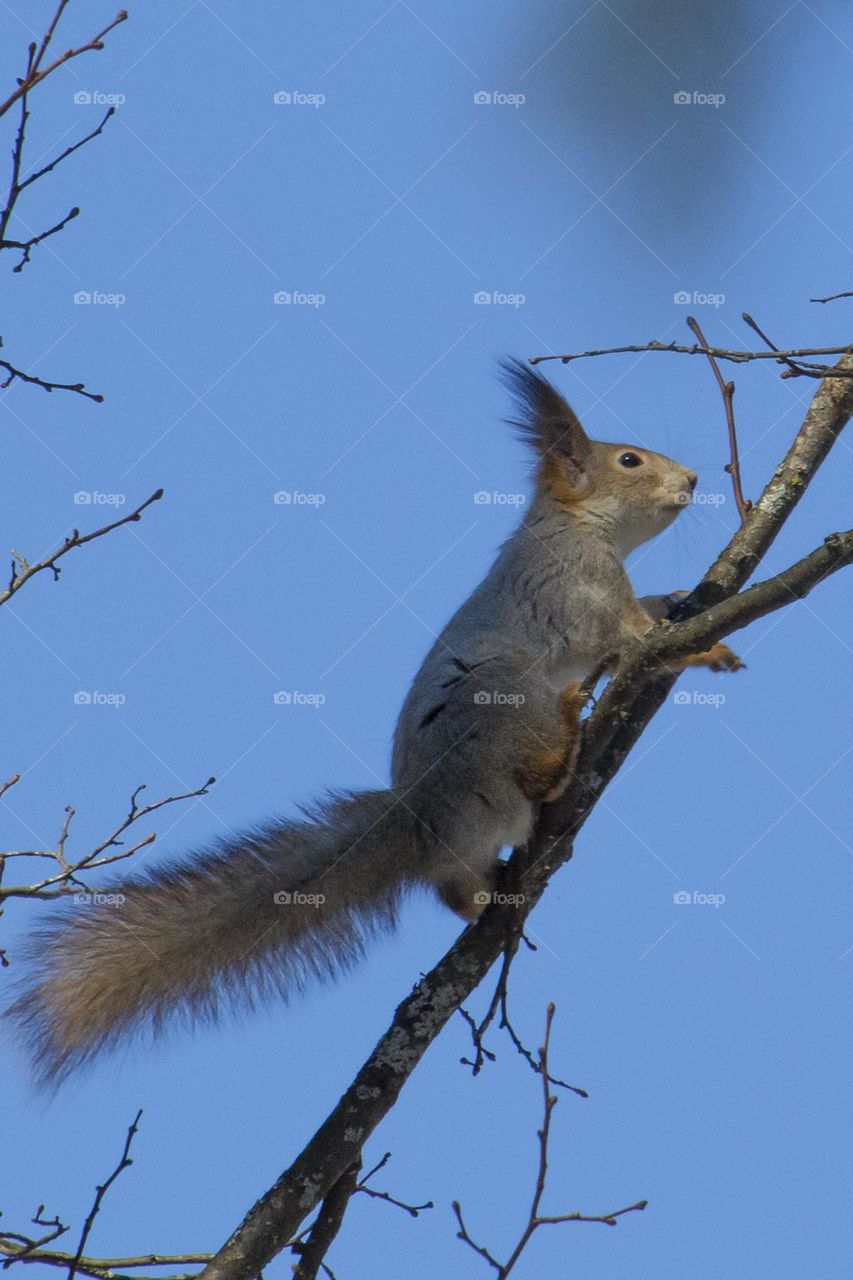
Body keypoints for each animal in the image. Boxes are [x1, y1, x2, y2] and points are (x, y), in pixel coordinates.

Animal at [10, 359, 742, 1081]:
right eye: (629, 460)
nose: (692, 479)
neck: (579, 525)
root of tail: (423, 820)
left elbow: (645, 620)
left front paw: (687, 604)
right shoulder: (583, 594)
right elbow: (635, 640)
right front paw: (702, 647)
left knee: (454, 894)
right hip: (505, 701)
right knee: (527, 777)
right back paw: (561, 751)